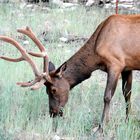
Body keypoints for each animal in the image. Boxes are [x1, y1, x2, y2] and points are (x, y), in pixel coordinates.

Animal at [0, 14, 140, 131]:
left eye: (53, 90)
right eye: (46, 91)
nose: (53, 113)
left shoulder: (115, 63)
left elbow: (107, 96)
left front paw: (101, 127)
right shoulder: (127, 67)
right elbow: (127, 94)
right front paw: (127, 121)